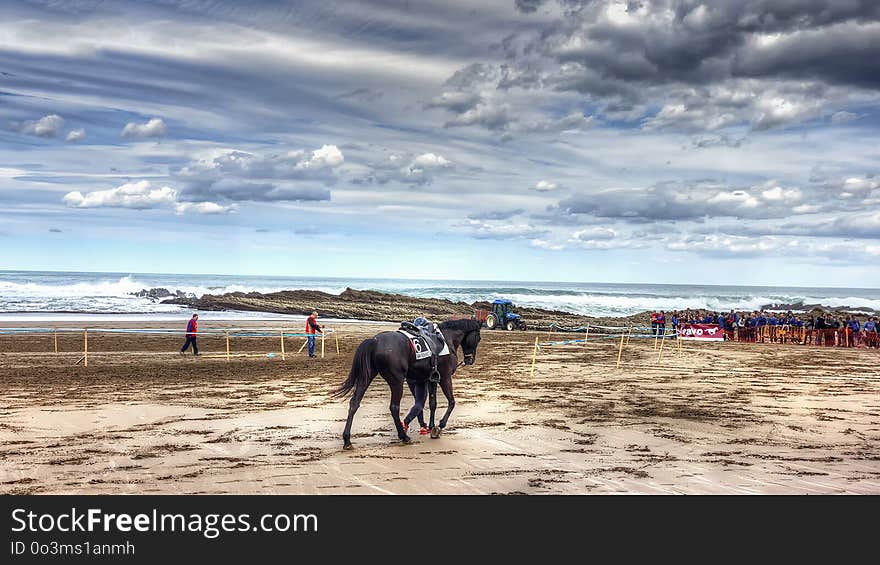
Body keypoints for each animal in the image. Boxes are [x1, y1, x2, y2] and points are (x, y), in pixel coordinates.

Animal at [334, 320, 482, 448]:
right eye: (478, 338)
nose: (470, 360)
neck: (446, 339)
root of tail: (374, 341)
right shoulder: (445, 378)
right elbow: (451, 402)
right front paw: (439, 426)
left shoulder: (431, 380)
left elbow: (432, 403)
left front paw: (431, 426)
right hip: (397, 381)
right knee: (394, 407)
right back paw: (403, 436)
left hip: (366, 377)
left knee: (354, 403)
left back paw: (347, 440)